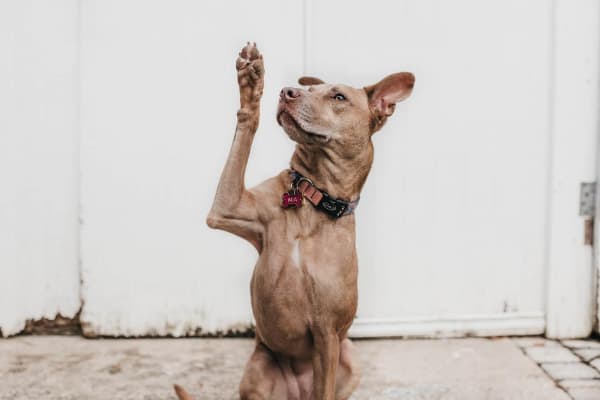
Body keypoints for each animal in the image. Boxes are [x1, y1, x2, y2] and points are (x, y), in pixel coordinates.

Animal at [176, 43, 414, 400]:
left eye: (338, 97)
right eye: (310, 89)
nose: (287, 91)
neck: (312, 199)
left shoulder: (327, 334)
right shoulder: (226, 207)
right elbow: (245, 130)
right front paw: (251, 84)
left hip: (349, 356)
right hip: (258, 369)